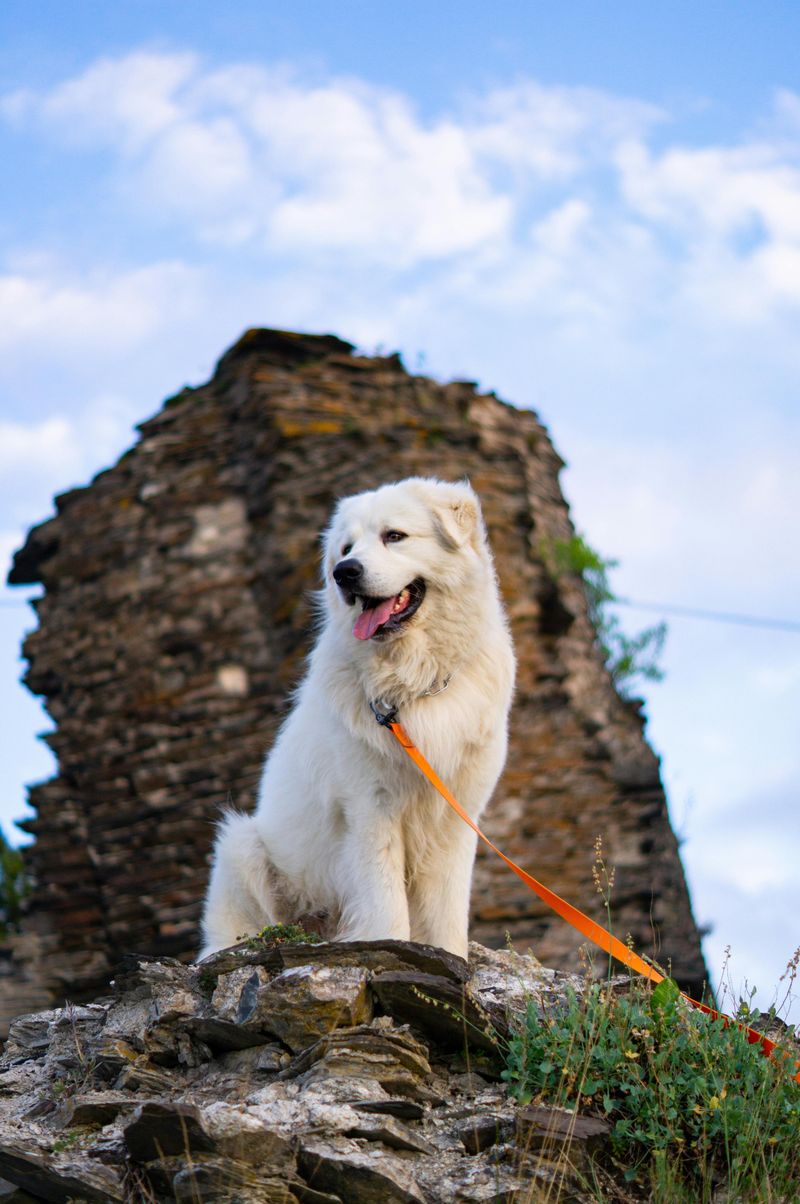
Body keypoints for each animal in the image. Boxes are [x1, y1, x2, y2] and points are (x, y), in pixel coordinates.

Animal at [198, 479, 513, 958]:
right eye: (345, 548)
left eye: (394, 536)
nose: (344, 572)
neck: (415, 682)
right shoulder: (370, 807)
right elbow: (385, 898)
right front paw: (393, 949)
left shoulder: (457, 814)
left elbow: (447, 910)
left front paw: (450, 959)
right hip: (242, 843)